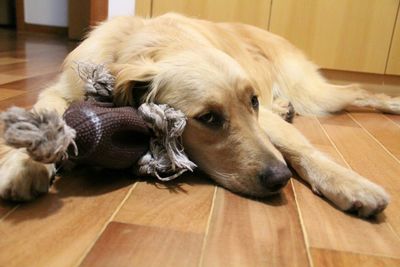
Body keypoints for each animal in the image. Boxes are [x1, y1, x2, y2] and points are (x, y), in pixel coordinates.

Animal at [1, 13, 398, 218]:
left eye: (252, 102)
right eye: (208, 118)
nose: (279, 179)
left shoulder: (262, 118)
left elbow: (301, 150)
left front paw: (350, 184)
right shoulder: (61, 89)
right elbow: (45, 110)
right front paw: (23, 162)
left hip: (312, 91)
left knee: (357, 90)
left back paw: (392, 103)